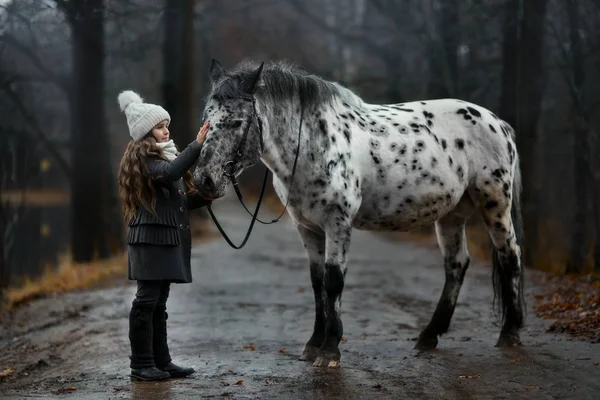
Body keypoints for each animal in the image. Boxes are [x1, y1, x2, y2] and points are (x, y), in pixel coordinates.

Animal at [192, 57, 524, 368]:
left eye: (237, 122)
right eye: (206, 120)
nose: (204, 180)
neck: (314, 143)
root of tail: (498, 123)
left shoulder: (338, 223)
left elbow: (334, 280)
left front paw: (329, 349)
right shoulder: (308, 228)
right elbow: (317, 282)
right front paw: (313, 344)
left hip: (495, 203)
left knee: (510, 254)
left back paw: (510, 332)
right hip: (451, 214)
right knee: (456, 264)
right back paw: (429, 336)